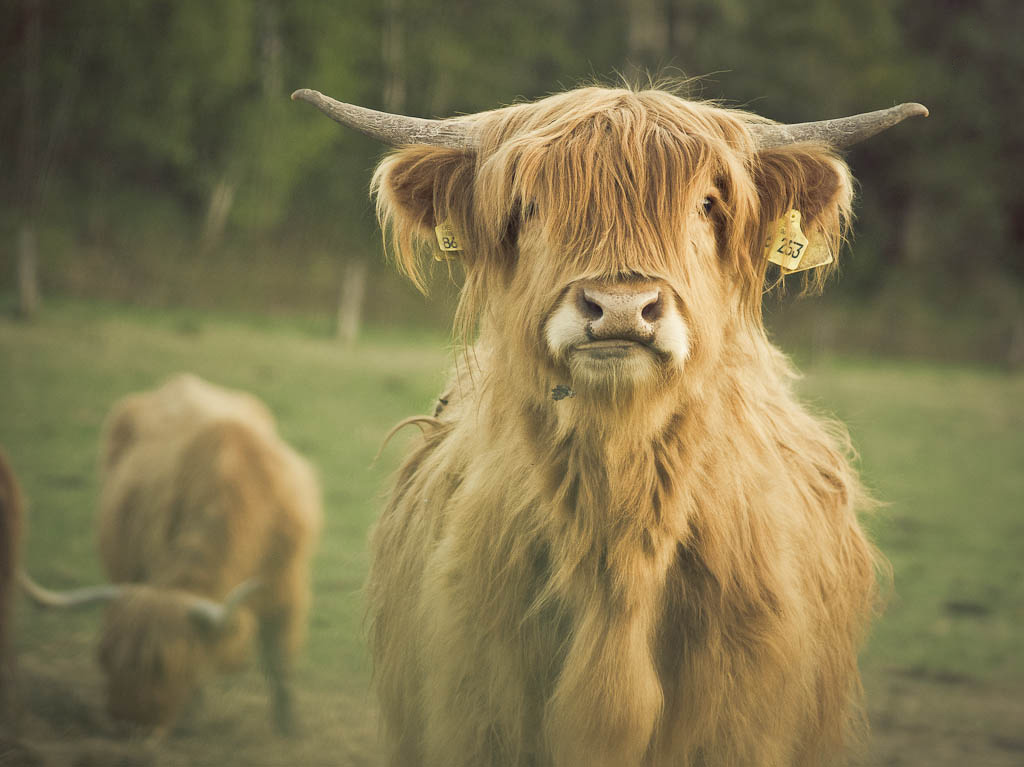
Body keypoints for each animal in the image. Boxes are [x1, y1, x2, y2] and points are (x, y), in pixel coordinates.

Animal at [22, 374, 321, 733]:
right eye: (104, 656)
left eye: (163, 664)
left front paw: (289, 731)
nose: (127, 724)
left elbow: (281, 664)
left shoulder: (288, 589)